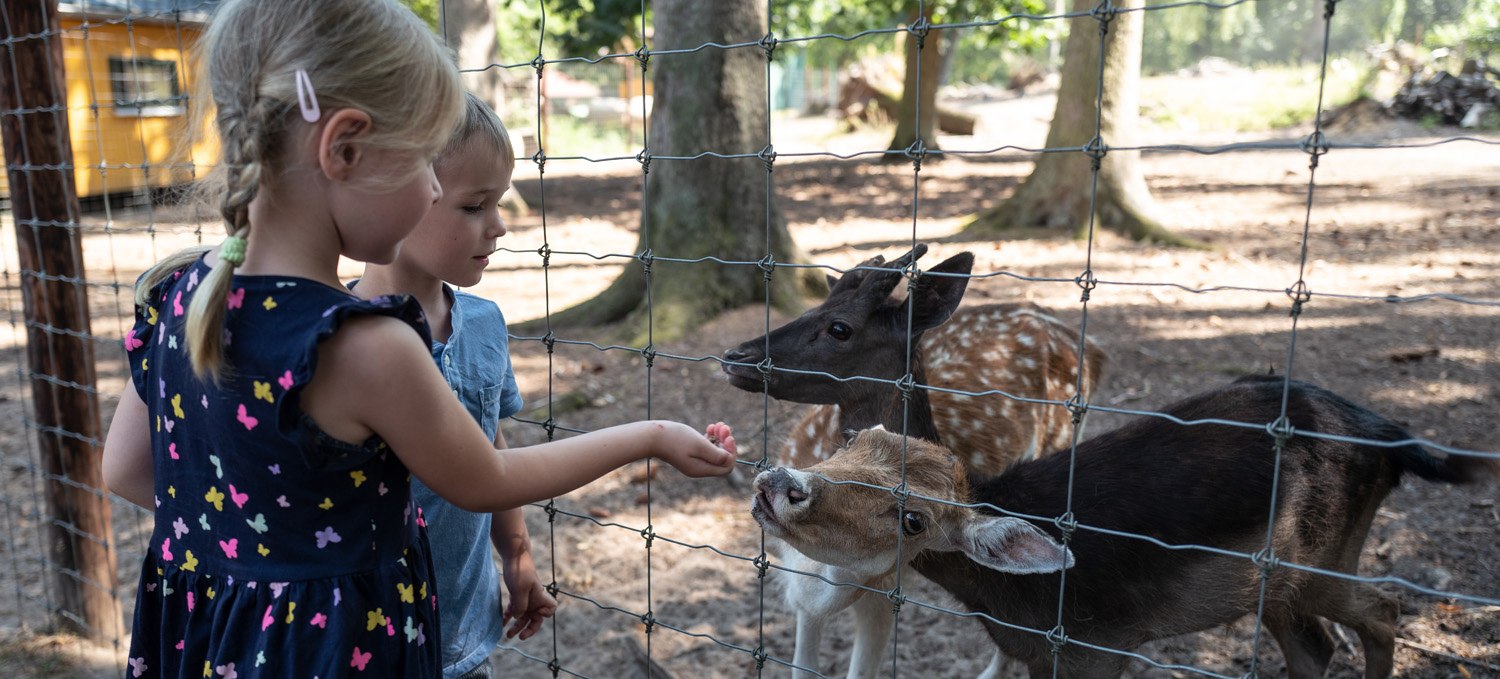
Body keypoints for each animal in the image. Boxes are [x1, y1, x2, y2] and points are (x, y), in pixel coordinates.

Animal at [720, 244, 1110, 677]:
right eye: (813, 306)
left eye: (840, 328)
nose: (735, 355)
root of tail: (1094, 348)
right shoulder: (798, 588)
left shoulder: (888, 585)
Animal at [744, 376, 1494, 677]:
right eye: (859, 439)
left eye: (913, 517)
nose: (783, 485)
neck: (1017, 605)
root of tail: (1394, 438)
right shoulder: (1039, 654)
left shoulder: (1099, 648)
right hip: (1278, 583)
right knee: (1317, 644)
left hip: (1324, 557)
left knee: (1384, 607)